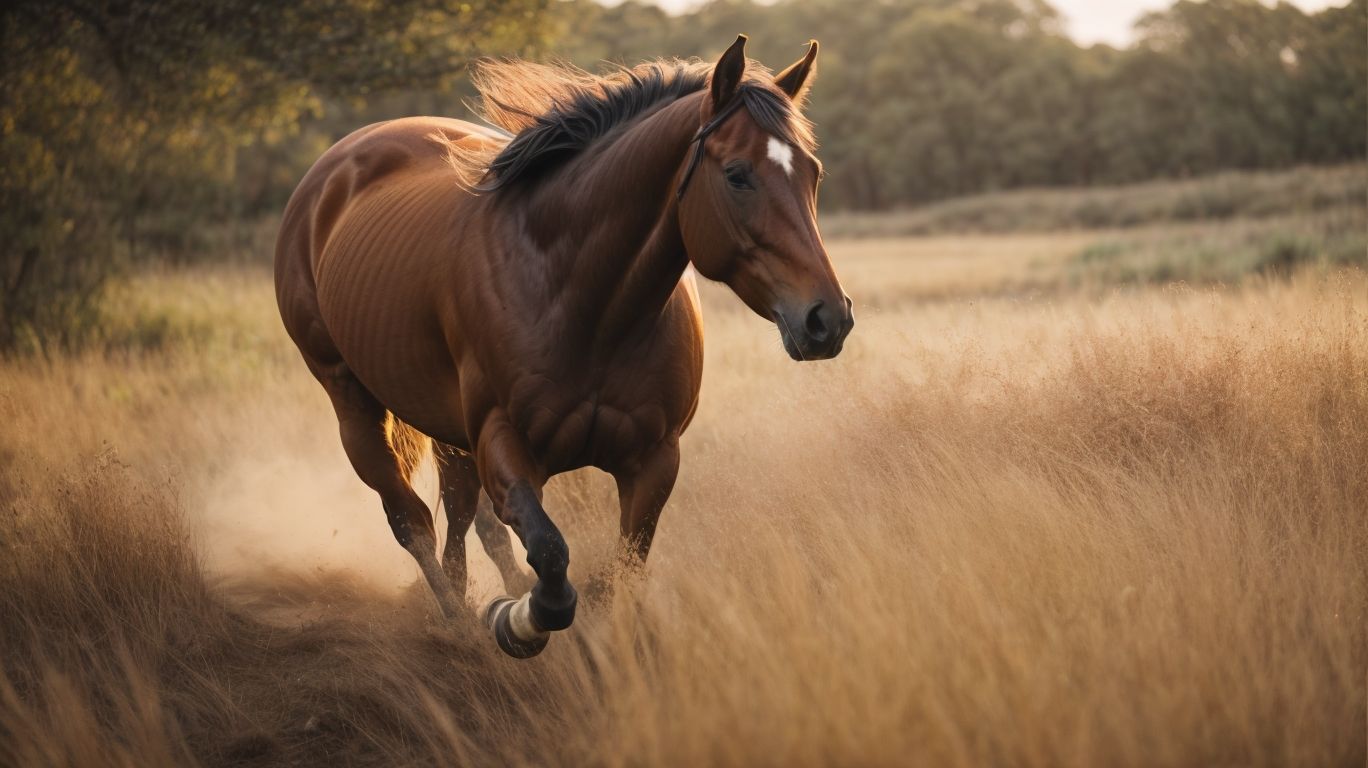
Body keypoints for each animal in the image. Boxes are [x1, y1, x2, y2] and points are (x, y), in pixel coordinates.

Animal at [274, 35, 853, 658]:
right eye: (738, 175)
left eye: (813, 173)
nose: (828, 319)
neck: (582, 302)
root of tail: (331, 172)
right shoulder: (506, 447)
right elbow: (551, 560)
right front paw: (513, 619)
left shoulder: (654, 462)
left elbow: (621, 571)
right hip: (353, 402)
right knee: (414, 522)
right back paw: (458, 620)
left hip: (447, 428)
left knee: (463, 516)